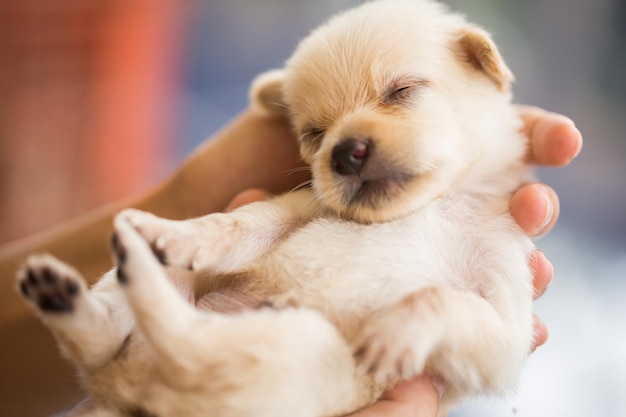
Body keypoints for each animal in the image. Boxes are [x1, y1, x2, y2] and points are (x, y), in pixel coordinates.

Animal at [15, 1, 532, 414]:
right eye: (314, 134)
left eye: (401, 91)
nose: (344, 153)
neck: (433, 204)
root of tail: (124, 393)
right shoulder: (293, 211)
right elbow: (231, 225)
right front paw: (177, 233)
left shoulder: (506, 333)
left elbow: (444, 299)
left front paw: (396, 331)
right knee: (119, 338)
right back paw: (112, 266)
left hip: (297, 351)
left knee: (186, 344)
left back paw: (117, 272)